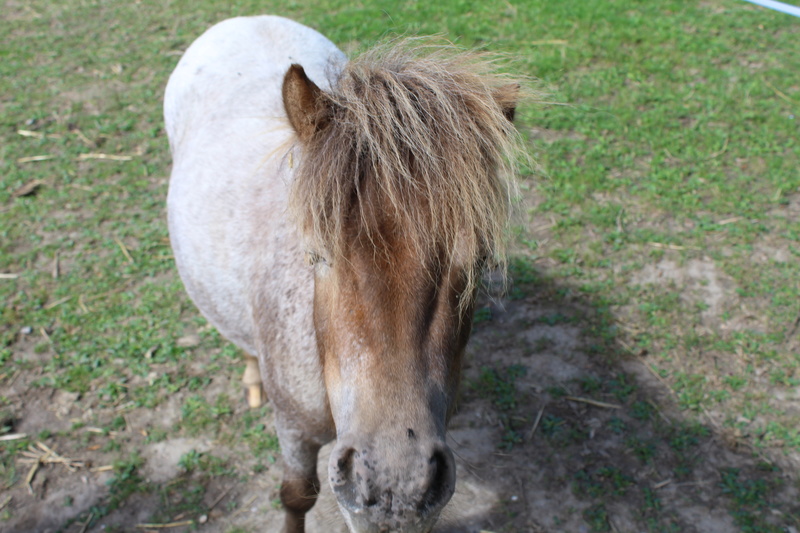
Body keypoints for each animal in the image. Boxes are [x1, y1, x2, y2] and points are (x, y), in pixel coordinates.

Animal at [164, 14, 524, 528]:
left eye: (480, 261)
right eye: (316, 254)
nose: (397, 487)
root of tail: (249, 18)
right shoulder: (295, 432)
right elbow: (298, 495)